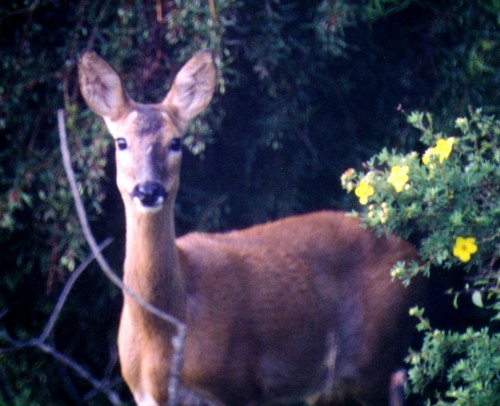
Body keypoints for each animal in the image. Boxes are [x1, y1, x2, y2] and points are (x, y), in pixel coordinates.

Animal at [78, 49, 422, 404]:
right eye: (121, 142)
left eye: (175, 142)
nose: (148, 190)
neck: (165, 328)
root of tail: (413, 254)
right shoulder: (142, 394)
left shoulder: (239, 383)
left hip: (377, 355)